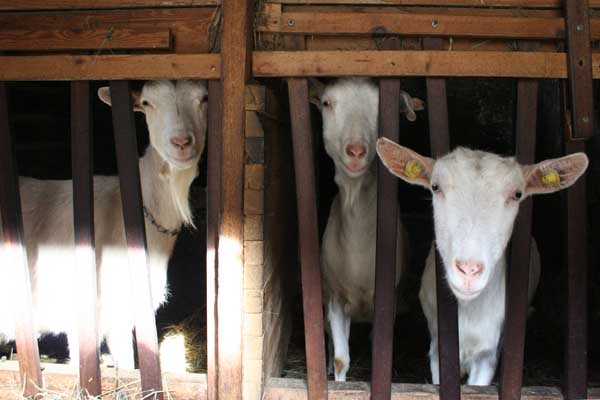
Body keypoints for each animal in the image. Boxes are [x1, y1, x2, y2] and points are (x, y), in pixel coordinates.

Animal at [309, 77, 424, 381]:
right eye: (327, 103)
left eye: (383, 106)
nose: (356, 151)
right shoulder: (335, 299)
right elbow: (341, 359)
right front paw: (337, 379)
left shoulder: (387, 302)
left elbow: (378, 349)